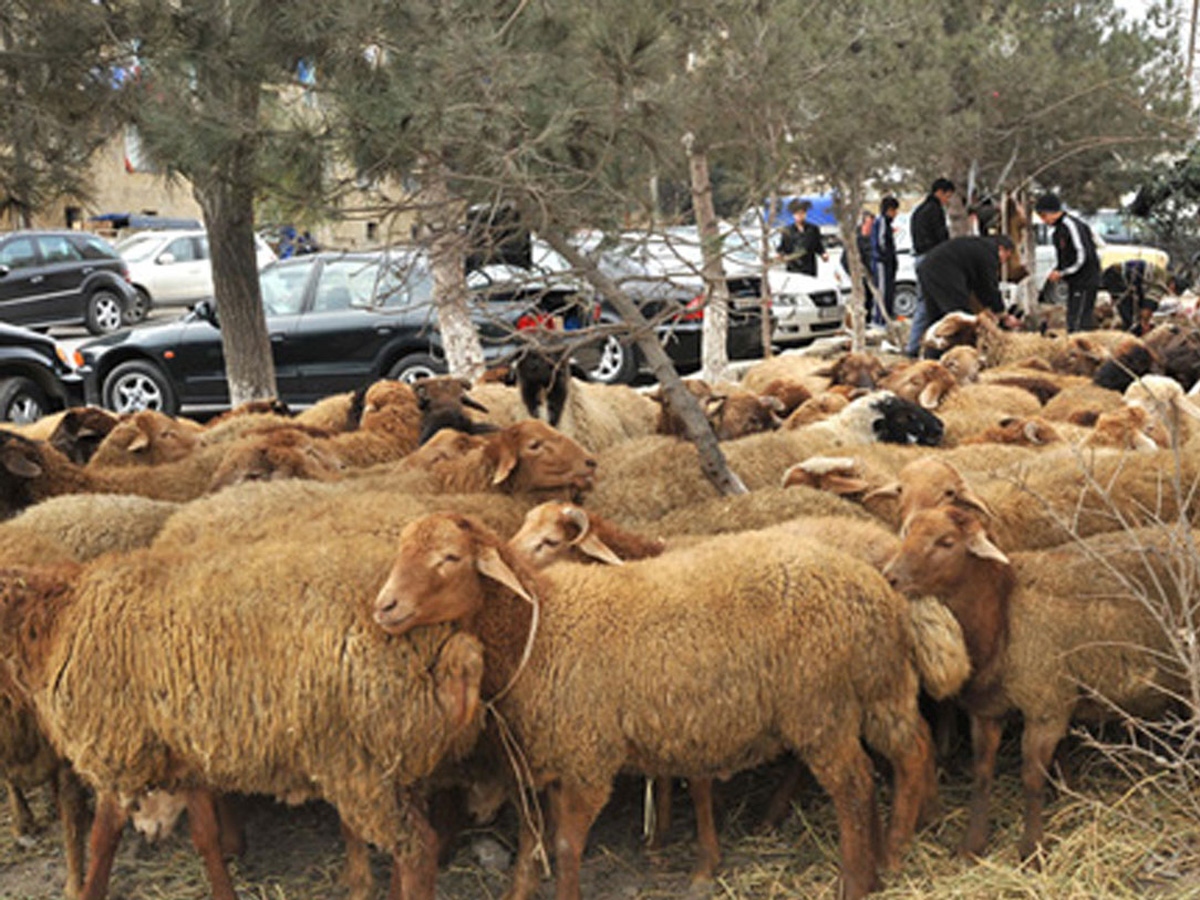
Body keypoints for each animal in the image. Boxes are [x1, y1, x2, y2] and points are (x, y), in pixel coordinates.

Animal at [0, 542, 489, 900]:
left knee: (418, 850)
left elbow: (103, 841)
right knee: (410, 847)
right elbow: (206, 837)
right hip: (398, 761)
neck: (56, 620)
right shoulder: (185, 755)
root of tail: (448, 642)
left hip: (362, 768)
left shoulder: (117, 750)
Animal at [379, 513, 940, 900]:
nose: (384, 606)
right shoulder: (546, 762)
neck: (541, 630)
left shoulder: (588, 758)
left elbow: (565, 847)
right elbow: (529, 849)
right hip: (878, 687)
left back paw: (860, 878)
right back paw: (888, 858)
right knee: (910, 750)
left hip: (819, 706)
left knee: (853, 786)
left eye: (450, 558)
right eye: (401, 550)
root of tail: (870, 583)